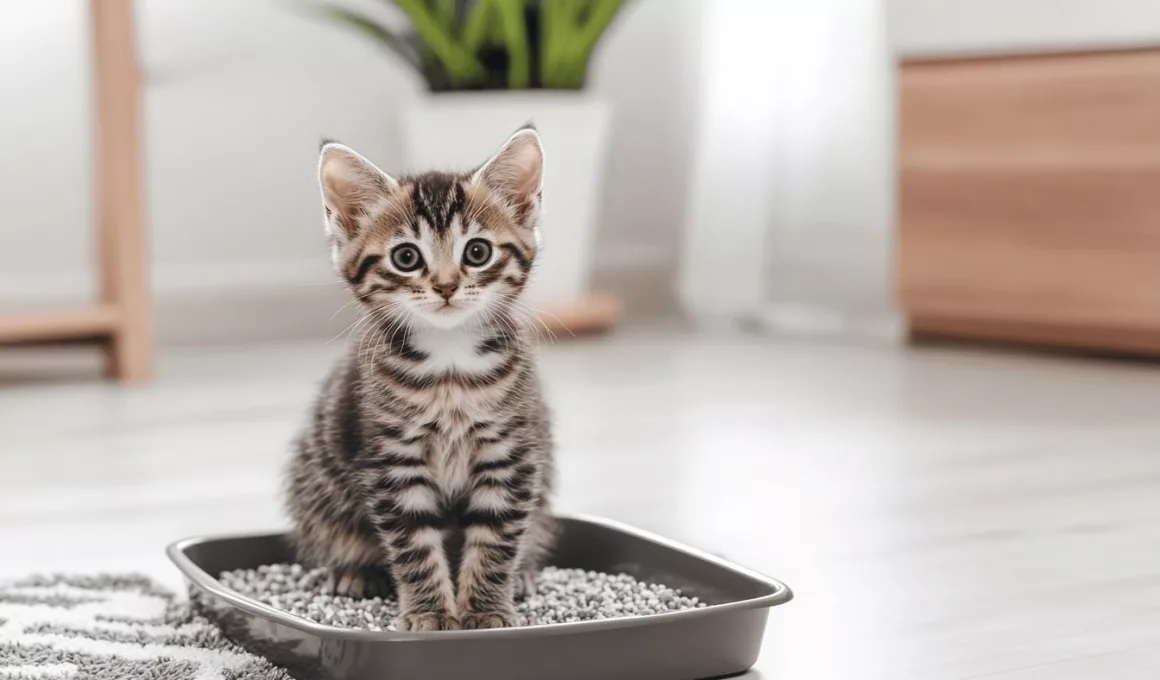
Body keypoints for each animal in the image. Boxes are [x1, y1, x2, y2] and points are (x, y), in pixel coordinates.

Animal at [290, 127, 561, 631]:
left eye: (477, 252)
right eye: (406, 257)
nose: (446, 286)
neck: (449, 367)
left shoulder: (511, 454)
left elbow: (496, 536)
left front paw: (486, 610)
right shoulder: (393, 461)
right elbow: (413, 543)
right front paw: (431, 612)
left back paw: (523, 574)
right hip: (316, 482)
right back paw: (352, 570)